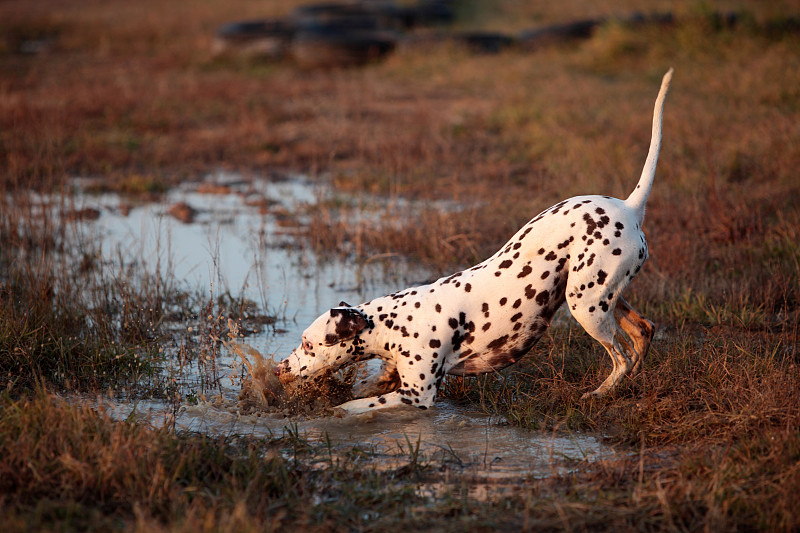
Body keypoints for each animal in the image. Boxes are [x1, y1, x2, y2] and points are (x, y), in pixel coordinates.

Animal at [276, 68, 676, 414]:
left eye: (308, 343)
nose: (279, 368)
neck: (392, 322)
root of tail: (630, 205)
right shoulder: (390, 378)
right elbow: (360, 390)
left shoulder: (418, 395)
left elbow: (349, 408)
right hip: (605, 298)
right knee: (642, 335)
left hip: (587, 306)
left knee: (621, 358)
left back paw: (599, 393)